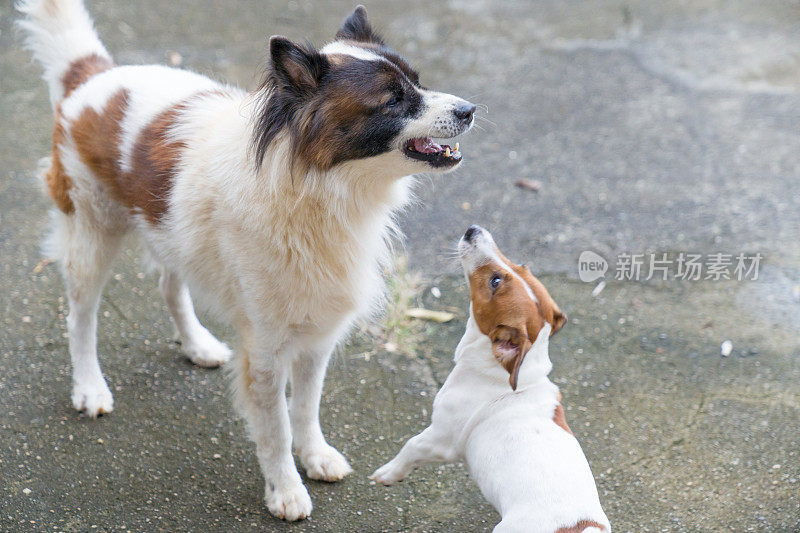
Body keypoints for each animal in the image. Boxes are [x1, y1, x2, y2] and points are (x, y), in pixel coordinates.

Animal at [17, 0, 476, 516]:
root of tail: (96, 75)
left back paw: (198, 345)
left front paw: (315, 455)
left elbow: (306, 407)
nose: (470, 110)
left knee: (169, 286)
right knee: (81, 317)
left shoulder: (317, 334)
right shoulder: (267, 348)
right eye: (394, 100)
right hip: (92, 234)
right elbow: (275, 427)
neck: (315, 187)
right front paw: (286, 490)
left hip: (170, 231)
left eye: (418, 81)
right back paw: (89, 387)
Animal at [372, 225, 608, 532]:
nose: (473, 230)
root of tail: (581, 525)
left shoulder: (441, 439)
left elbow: (410, 446)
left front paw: (388, 473)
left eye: (495, 282)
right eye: (521, 265)